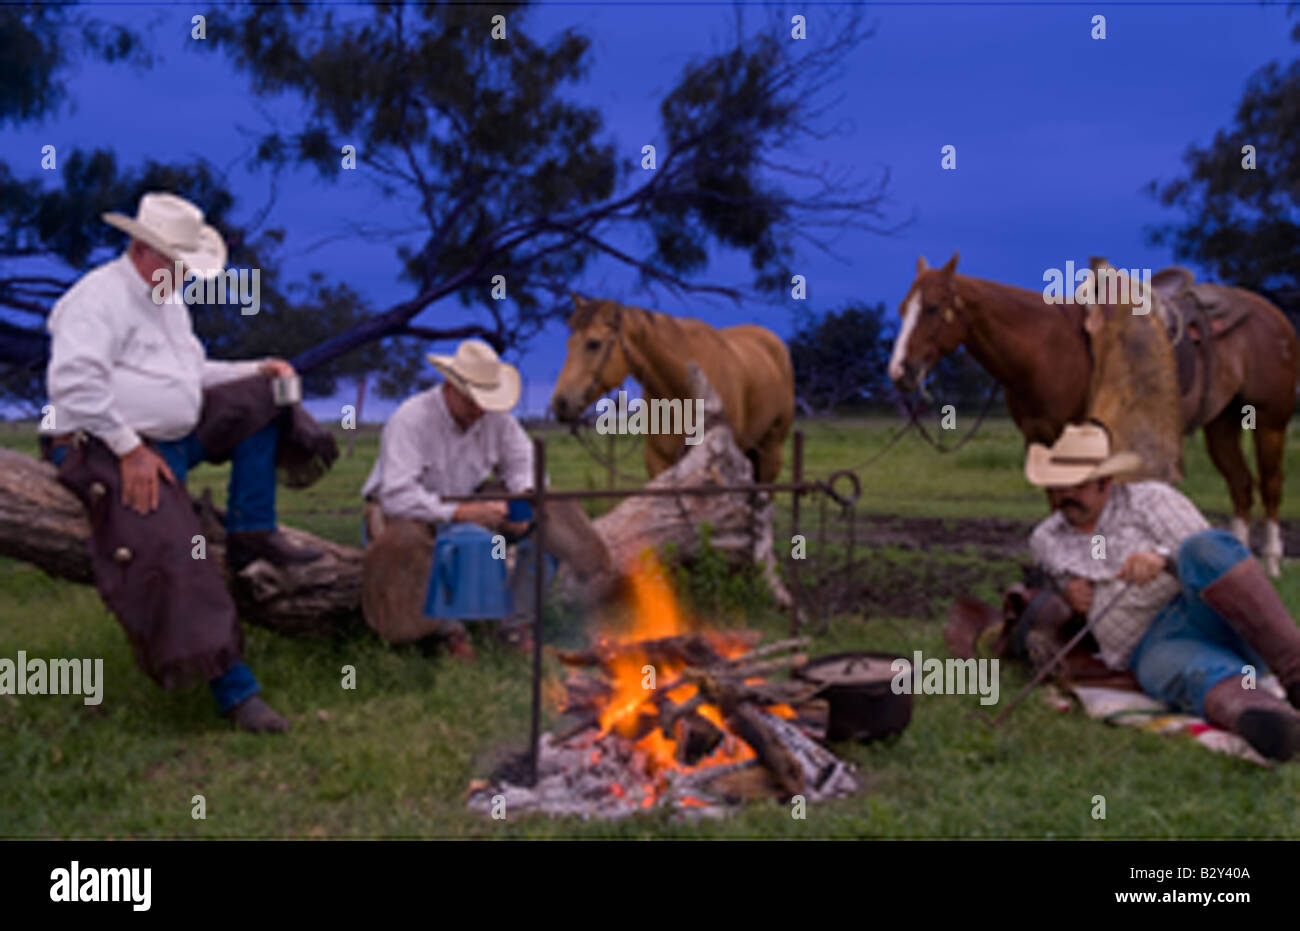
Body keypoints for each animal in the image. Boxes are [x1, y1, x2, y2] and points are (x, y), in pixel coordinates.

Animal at [548, 296, 790, 483]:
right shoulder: (659, 462)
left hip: (771, 451)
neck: (683, 394)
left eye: (593, 343)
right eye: (569, 344)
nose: (560, 403)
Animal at [889, 254, 1294, 574]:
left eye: (931, 308)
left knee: (1271, 483)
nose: (900, 371)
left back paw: (1273, 562)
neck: (1048, 347)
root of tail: (1274, 316)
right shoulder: (1039, 438)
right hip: (1222, 423)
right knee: (1241, 484)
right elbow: (1057, 504)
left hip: (1270, 420)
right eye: (902, 309)